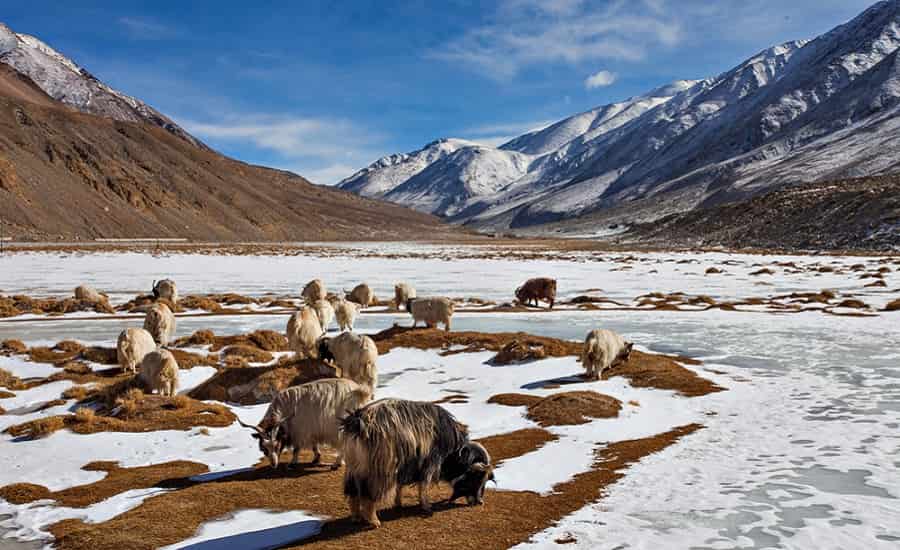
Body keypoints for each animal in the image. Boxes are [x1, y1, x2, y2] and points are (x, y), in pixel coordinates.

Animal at [239, 380, 372, 470]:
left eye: (277, 445)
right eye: (264, 447)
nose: (273, 464)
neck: (285, 410)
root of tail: (360, 392)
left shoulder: (300, 431)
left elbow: (296, 449)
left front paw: (292, 463)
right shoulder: (311, 430)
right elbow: (314, 445)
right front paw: (316, 458)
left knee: (344, 445)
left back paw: (336, 464)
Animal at [340, 402, 492, 532]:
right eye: (475, 477)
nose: (479, 502)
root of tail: (357, 424)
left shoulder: (406, 466)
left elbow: (400, 486)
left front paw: (398, 503)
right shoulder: (429, 464)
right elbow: (422, 486)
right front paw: (426, 507)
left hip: (353, 470)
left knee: (353, 493)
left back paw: (356, 517)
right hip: (377, 472)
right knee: (369, 496)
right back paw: (374, 522)